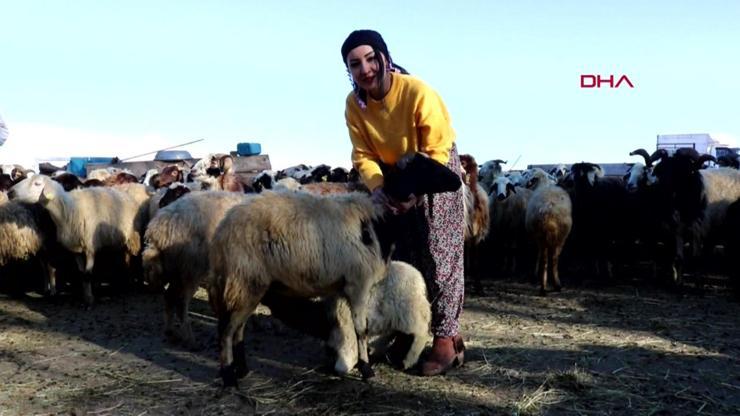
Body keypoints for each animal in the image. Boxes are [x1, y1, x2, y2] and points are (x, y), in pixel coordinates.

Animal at [9, 174, 144, 304]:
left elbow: (87, 274)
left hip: (133, 238)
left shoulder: (90, 248)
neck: (68, 210)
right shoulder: (76, 248)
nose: (10, 192)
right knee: (125, 258)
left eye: (37, 183)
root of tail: (126, 193)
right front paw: (84, 295)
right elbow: (81, 273)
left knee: (136, 258)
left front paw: (89, 299)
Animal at [207, 192, 390, 386]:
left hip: (248, 287)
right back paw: (229, 377)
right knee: (226, 330)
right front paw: (366, 369)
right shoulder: (359, 283)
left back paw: (242, 370)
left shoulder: (345, 287)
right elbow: (361, 330)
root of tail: (221, 233)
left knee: (238, 329)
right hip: (243, 280)